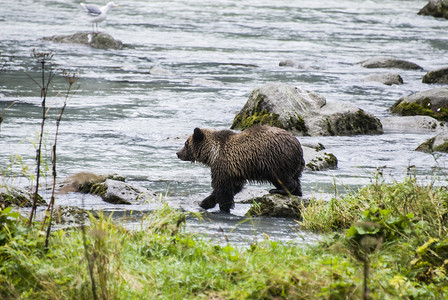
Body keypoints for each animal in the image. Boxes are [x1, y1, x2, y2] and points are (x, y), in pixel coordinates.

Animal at [177, 124, 306, 213]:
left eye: (185, 144)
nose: (178, 153)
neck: (212, 154)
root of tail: (298, 146)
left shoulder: (223, 165)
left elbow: (223, 189)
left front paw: (223, 208)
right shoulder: (235, 171)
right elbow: (232, 187)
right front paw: (204, 203)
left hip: (275, 159)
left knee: (282, 177)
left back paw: (278, 190)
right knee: (296, 180)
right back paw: (297, 193)